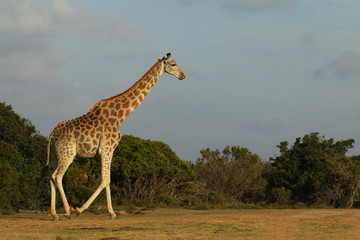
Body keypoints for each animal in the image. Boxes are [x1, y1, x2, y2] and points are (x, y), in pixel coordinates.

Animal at [46, 53, 184, 220]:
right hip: (68, 154)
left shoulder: (109, 150)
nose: (183, 76)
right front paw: (80, 209)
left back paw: (54, 214)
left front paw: (111, 212)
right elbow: (105, 179)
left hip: (57, 155)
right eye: (173, 64)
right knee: (58, 176)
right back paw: (67, 211)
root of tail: (52, 135)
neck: (121, 116)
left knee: (51, 176)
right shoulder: (106, 148)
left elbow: (108, 180)